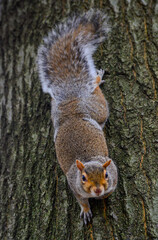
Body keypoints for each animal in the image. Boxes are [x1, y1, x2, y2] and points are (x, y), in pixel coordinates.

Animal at [37, 9, 118, 225]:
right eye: (83, 178)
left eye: (106, 174)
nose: (97, 189)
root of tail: (72, 101)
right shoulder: (73, 184)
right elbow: (81, 199)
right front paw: (86, 210)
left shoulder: (114, 173)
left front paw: (105, 195)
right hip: (61, 112)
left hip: (97, 108)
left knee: (97, 94)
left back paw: (97, 78)